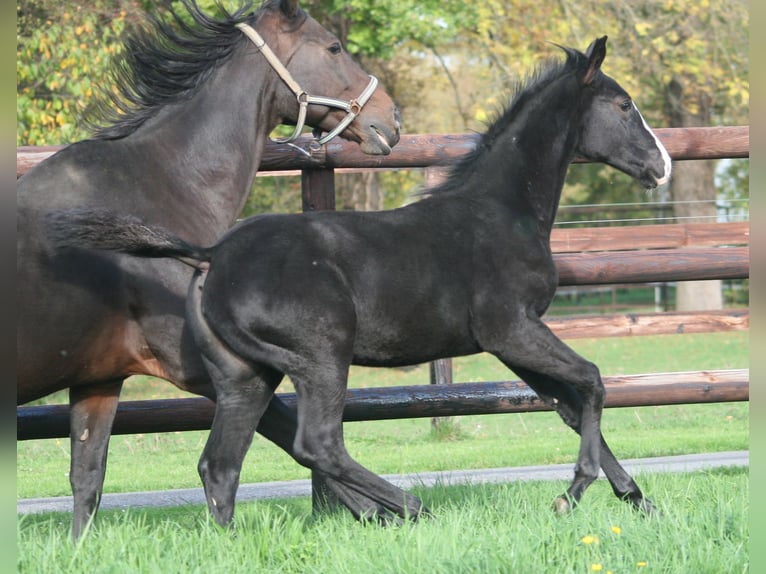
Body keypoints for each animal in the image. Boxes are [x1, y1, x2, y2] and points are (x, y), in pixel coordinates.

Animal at [18, 0, 402, 540]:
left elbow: (86, 478)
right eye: (333, 47)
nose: (391, 120)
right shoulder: (207, 367)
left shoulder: (99, 379)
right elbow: (295, 439)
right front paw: (383, 511)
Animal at [49, 37, 672, 532]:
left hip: (245, 375)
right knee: (317, 443)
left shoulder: (511, 341)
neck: (501, 211)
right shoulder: (512, 329)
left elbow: (570, 404)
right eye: (623, 105)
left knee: (221, 464)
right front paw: (575, 492)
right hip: (323, 355)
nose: (661, 165)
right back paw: (411, 507)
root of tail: (212, 256)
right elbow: (592, 382)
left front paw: (636, 499)